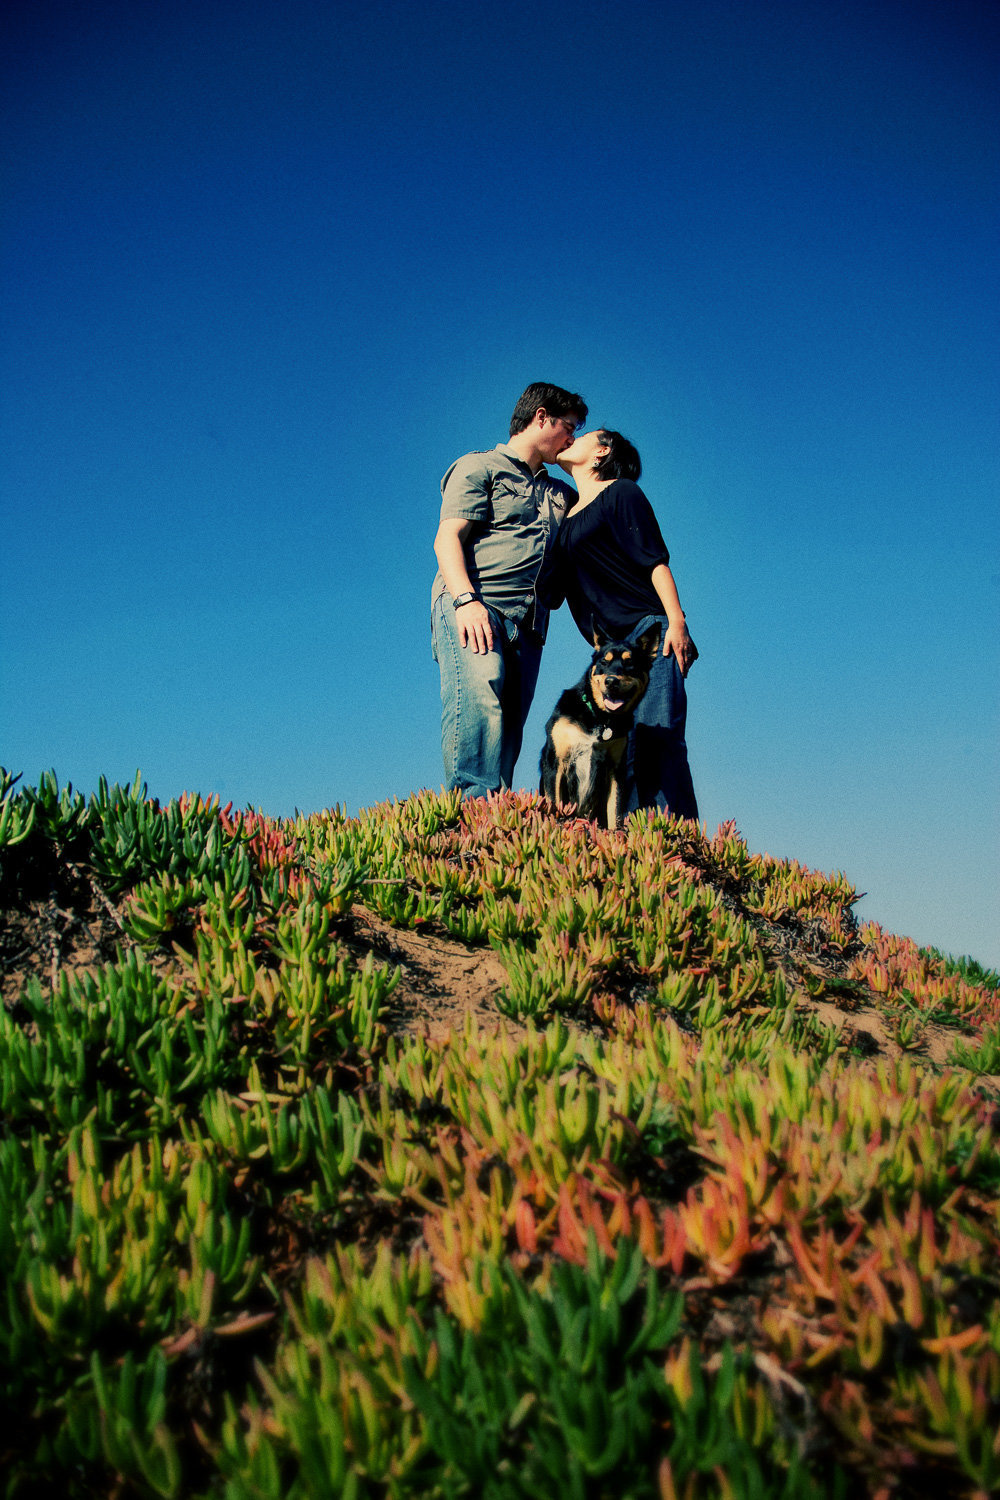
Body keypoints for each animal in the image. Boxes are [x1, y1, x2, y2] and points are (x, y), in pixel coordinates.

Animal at [542, 624, 659, 834]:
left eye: (630, 663)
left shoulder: (615, 770)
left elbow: (615, 812)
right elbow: (554, 804)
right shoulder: (555, 761)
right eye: (605, 661)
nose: (611, 681)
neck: (600, 717)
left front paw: (615, 836)